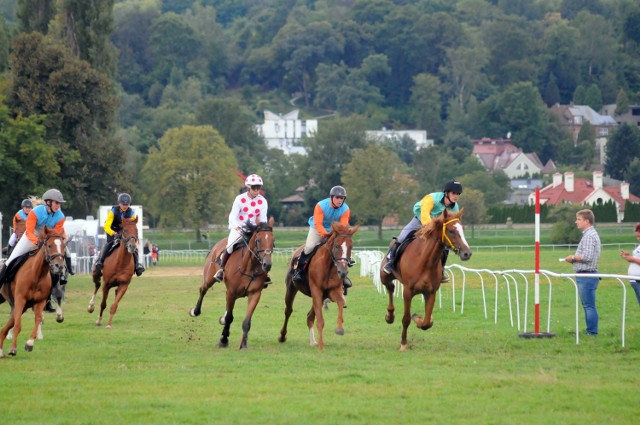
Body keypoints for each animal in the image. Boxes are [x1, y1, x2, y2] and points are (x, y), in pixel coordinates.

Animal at [0, 227, 67, 356]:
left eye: (63, 246)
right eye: (49, 245)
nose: (59, 266)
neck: (37, 275)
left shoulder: (39, 301)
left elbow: (38, 319)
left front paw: (29, 343)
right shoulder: (20, 299)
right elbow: (17, 325)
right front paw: (13, 349)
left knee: (5, 327)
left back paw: (0, 351)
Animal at [188, 215, 272, 348]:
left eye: (273, 241)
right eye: (258, 240)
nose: (267, 264)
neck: (248, 268)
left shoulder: (255, 294)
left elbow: (246, 321)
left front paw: (243, 344)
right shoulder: (231, 293)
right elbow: (229, 318)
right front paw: (223, 339)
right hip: (209, 278)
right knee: (203, 289)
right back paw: (195, 311)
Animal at [280, 220, 360, 350]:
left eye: (351, 247)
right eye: (337, 246)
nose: (343, 272)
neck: (328, 266)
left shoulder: (332, 291)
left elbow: (341, 302)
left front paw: (339, 329)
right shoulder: (316, 290)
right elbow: (320, 321)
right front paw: (322, 346)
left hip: (320, 296)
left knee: (310, 316)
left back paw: (313, 341)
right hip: (291, 288)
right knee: (288, 311)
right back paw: (282, 336)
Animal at [378, 209, 472, 352]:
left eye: (463, 229)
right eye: (451, 231)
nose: (467, 253)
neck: (426, 261)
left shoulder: (431, 292)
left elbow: (427, 322)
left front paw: (418, 318)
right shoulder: (408, 291)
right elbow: (406, 319)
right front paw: (403, 343)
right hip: (384, 276)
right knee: (390, 288)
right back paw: (390, 316)